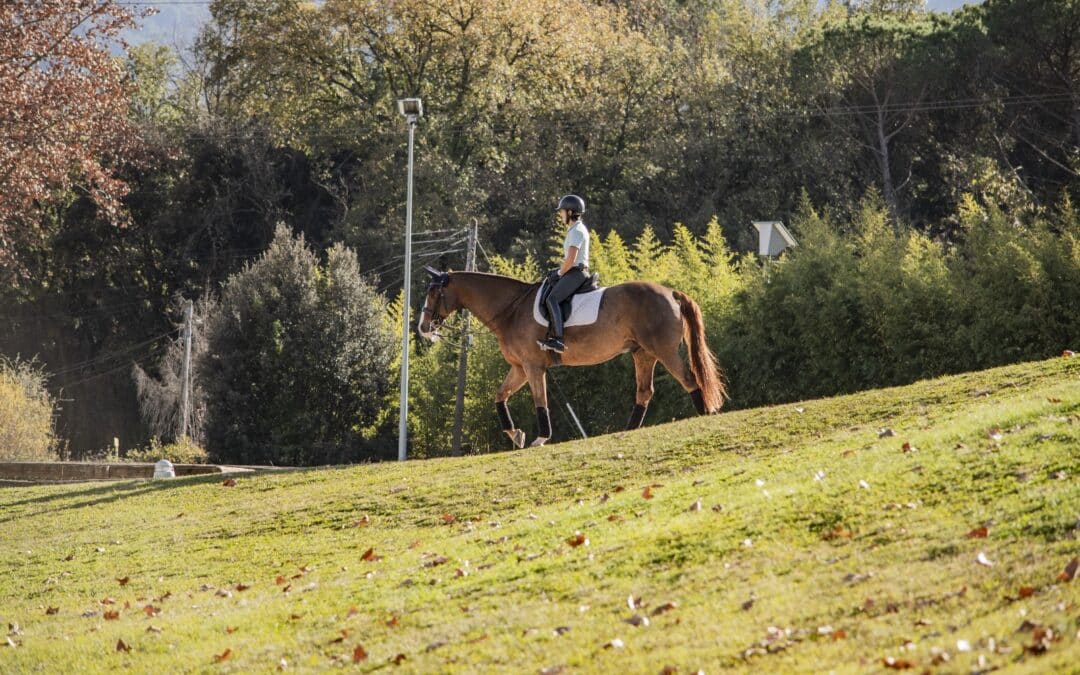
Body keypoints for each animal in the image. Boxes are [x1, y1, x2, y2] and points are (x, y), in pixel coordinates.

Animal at [414, 268, 725, 447]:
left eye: (434, 292)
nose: (423, 328)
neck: (510, 310)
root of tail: (671, 293)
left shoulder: (532, 366)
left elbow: (540, 401)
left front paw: (540, 438)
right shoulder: (519, 368)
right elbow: (500, 396)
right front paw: (516, 434)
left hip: (664, 350)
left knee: (689, 379)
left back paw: (705, 415)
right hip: (643, 354)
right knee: (645, 392)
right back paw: (626, 431)